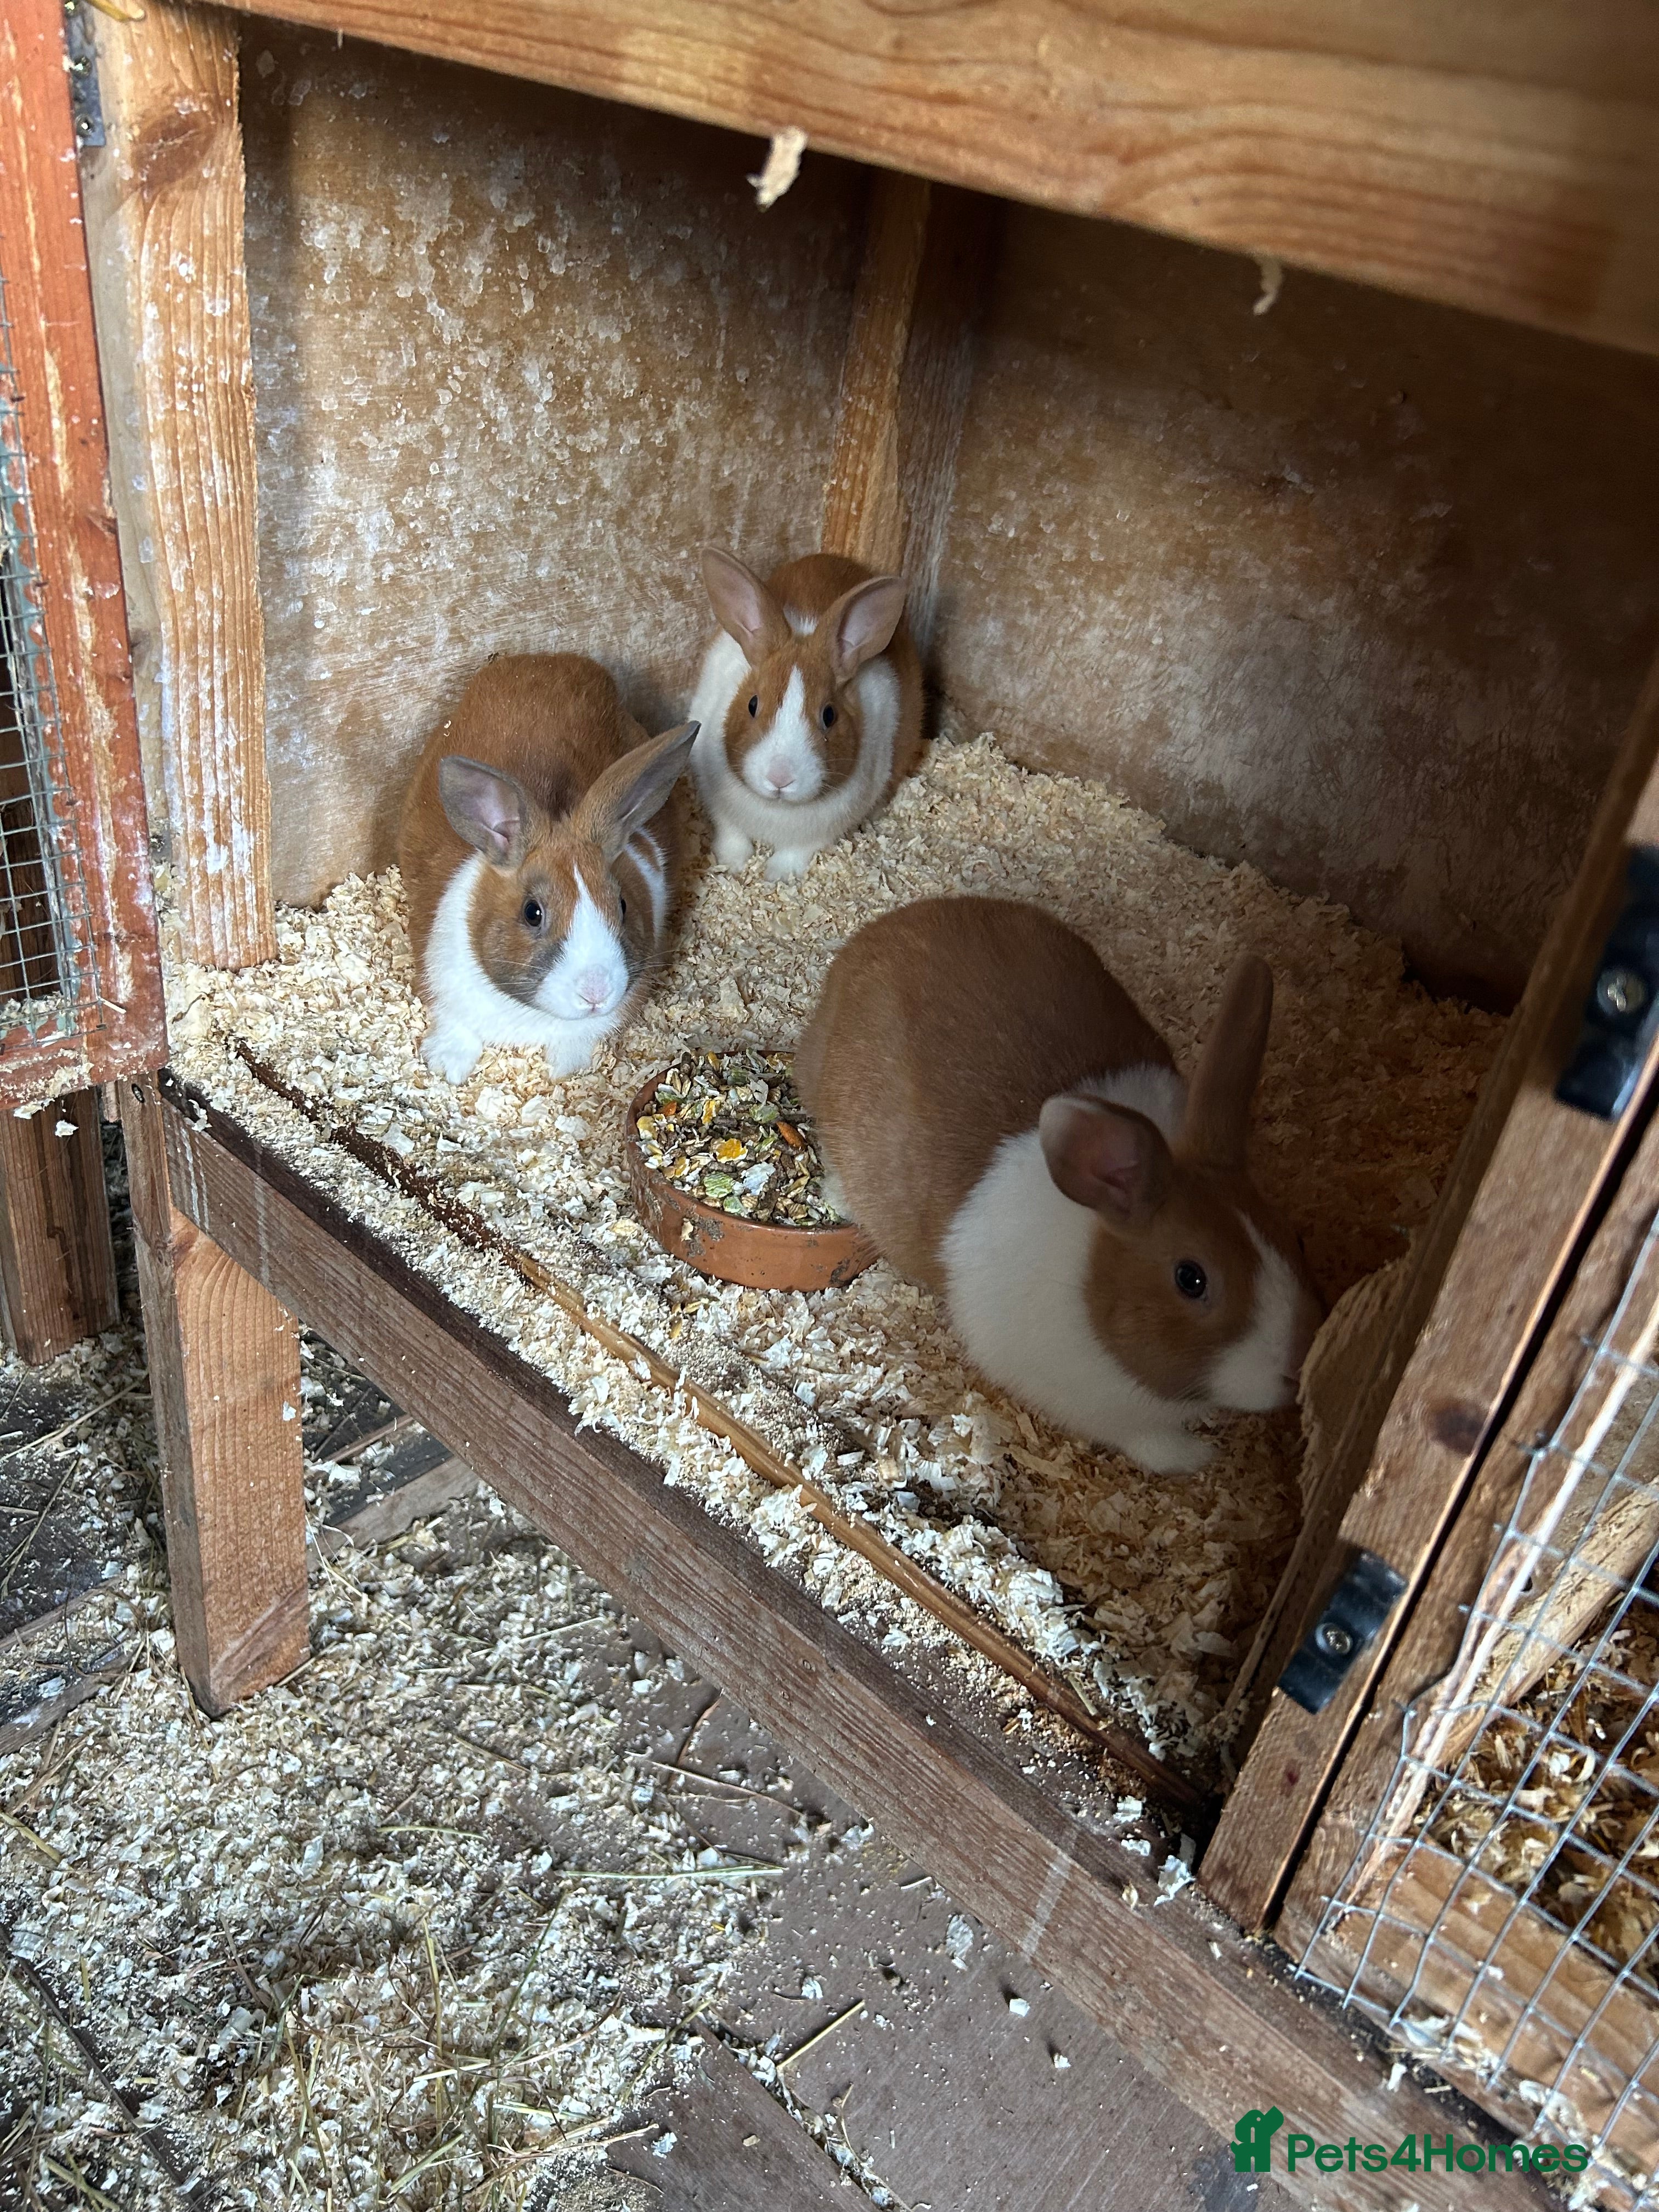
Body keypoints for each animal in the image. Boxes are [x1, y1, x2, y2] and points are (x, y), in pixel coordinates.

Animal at [398, 654, 697, 1084]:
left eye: (622, 905)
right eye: (532, 913)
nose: (596, 994)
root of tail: (550, 658)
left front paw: (564, 1071)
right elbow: (456, 1029)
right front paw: (447, 1067)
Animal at [687, 546, 923, 881]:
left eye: (829, 715)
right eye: (753, 704)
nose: (780, 778)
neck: (778, 809)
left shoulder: (820, 833)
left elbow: (796, 853)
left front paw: (776, 876)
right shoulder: (718, 806)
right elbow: (732, 835)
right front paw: (732, 864)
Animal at [795, 896, 1325, 1475]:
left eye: (1298, 1238)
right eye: (1192, 1278)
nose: (1298, 1368)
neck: (1091, 1272)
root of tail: (869, 939)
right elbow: (1152, 1442)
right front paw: (1197, 1458)